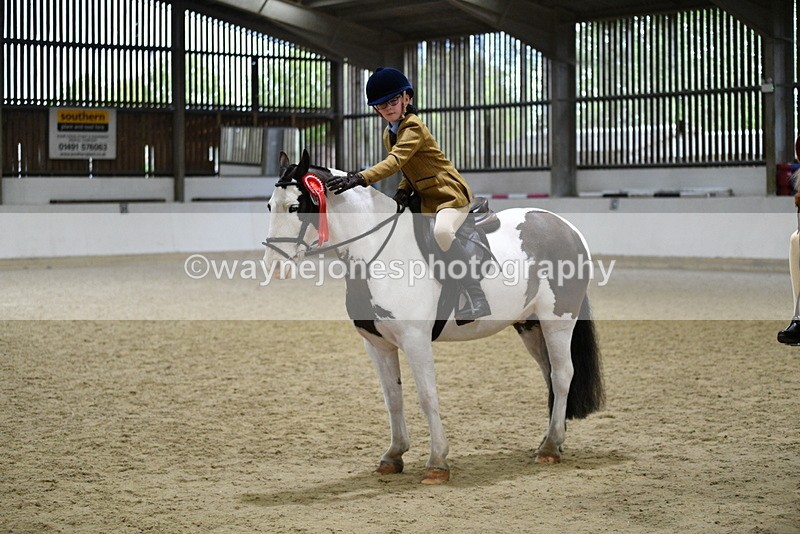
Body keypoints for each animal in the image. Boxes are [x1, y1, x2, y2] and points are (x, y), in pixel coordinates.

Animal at [263, 149, 605, 484]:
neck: (379, 254)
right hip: (530, 326)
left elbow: (427, 397)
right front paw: (393, 455)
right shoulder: (377, 344)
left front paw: (437, 462)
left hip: (558, 320)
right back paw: (551, 440)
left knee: (562, 375)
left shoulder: (416, 341)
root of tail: (567, 228)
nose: (274, 267)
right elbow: (393, 398)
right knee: (549, 374)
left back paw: (550, 447)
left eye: (295, 206)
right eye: (269, 206)